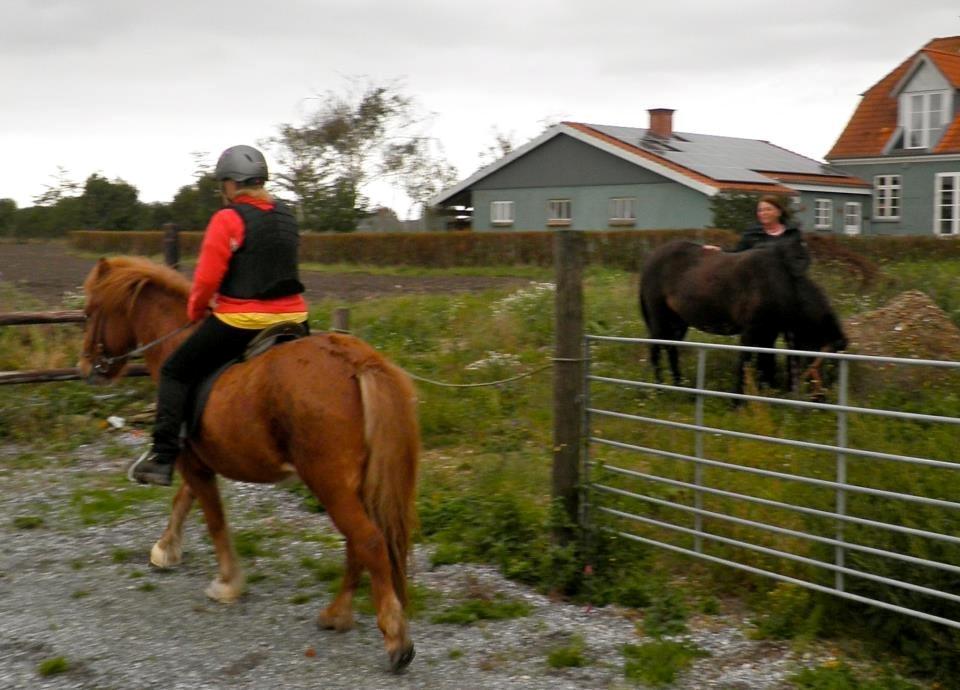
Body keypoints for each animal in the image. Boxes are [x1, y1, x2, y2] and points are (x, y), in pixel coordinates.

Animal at [78, 255, 416, 668]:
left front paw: (226, 583)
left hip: (329, 483)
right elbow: (184, 501)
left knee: (367, 541)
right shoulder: (198, 458)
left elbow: (213, 520)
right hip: (355, 485)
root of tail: (355, 361)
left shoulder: (191, 461)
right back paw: (337, 614)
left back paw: (395, 638)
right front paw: (166, 549)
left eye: (90, 312)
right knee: (358, 544)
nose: (86, 367)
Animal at [640, 239, 844, 392]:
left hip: (678, 323)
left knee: (671, 349)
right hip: (660, 320)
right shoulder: (750, 332)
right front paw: (737, 403)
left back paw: (678, 385)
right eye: (828, 362)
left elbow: (765, 364)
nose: (823, 399)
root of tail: (650, 259)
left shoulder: (768, 333)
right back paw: (660, 389)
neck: (779, 283)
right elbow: (744, 364)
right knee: (656, 351)